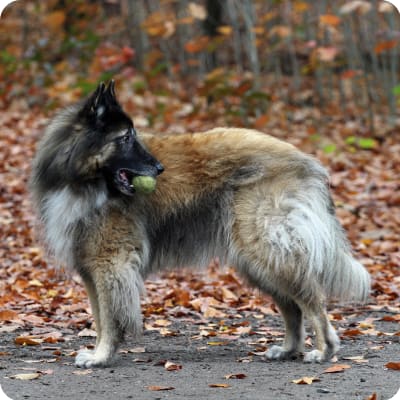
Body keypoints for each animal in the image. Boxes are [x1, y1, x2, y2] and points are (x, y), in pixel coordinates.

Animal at [29, 81, 370, 368]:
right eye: (125, 137)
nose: (159, 168)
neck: (83, 181)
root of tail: (305, 161)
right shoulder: (90, 269)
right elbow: (99, 317)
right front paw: (99, 352)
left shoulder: (110, 264)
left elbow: (110, 317)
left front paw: (100, 356)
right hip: (257, 261)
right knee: (293, 306)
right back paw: (288, 349)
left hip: (266, 250)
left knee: (311, 300)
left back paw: (324, 350)